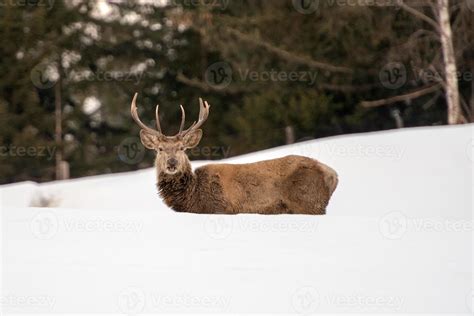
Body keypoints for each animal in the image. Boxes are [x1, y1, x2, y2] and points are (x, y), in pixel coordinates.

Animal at [130, 92, 336, 215]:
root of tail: (333, 175)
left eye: (182, 148)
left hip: (308, 202)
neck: (193, 197)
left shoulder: (221, 208)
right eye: (160, 149)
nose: (172, 163)